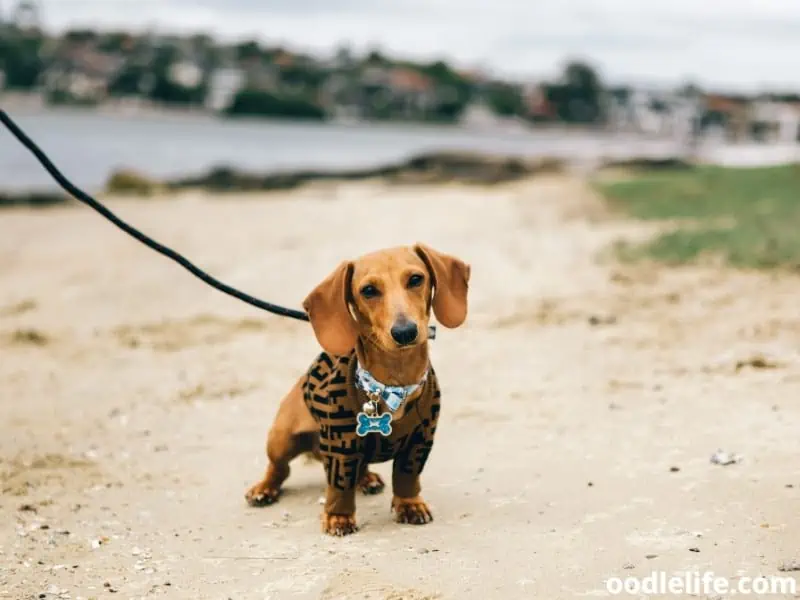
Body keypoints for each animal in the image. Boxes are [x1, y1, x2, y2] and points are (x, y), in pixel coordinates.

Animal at [244, 243, 468, 536]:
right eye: (369, 290)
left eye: (416, 279)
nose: (405, 332)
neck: (392, 384)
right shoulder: (340, 446)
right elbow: (339, 487)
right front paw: (338, 517)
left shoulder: (420, 441)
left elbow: (407, 476)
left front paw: (410, 505)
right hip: (282, 439)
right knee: (279, 469)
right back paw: (264, 489)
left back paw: (366, 478)